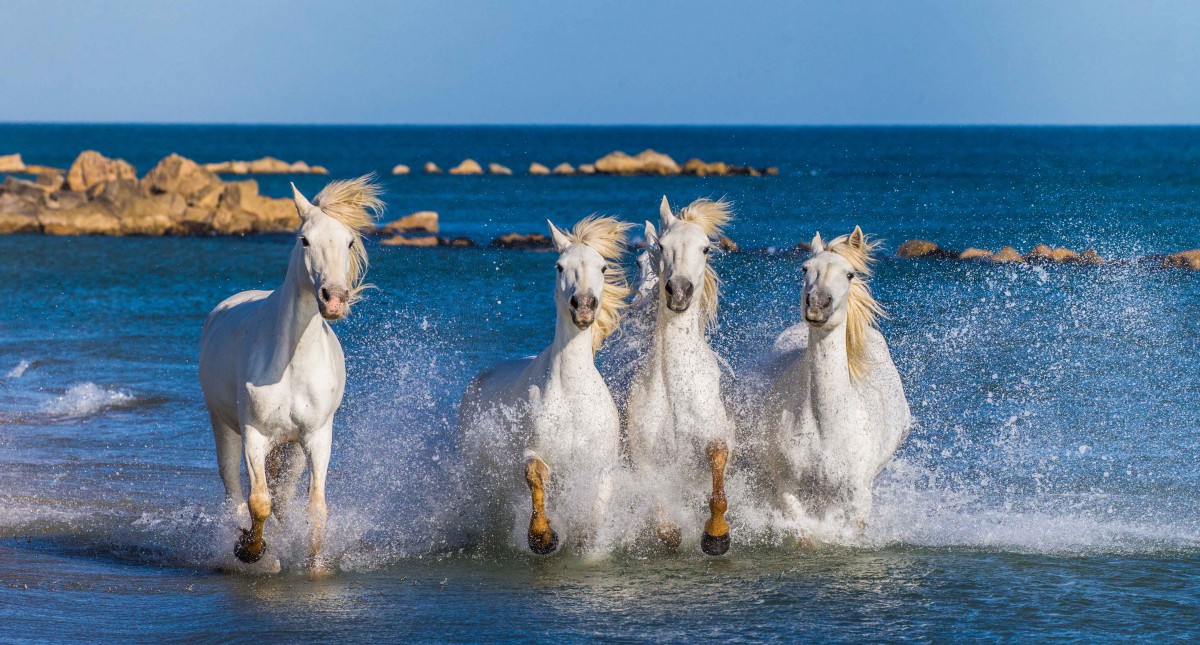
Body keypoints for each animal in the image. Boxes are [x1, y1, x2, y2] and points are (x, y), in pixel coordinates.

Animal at [199, 172, 381, 565]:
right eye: (305, 239)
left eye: (349, 241)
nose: (334, 299)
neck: (291, 365)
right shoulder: (254, 434)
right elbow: (258, 502)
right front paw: (251, 550)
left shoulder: (317, 437)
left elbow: (315, 509)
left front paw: (315, 565)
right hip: (224, 426)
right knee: (234, 493)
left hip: (293, 449)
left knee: (282, 497)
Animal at [456, 214, 633, 551]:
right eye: (559, 266)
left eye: (603, 267)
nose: (584, 305)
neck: (573, 397)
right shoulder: (534, 450)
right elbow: (535, 475)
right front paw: (542, 537)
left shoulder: (602, 463)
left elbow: (597, 507)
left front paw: (586, 539)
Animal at [624, 195, 734, 551]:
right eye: (662, 245)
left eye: (706, 249)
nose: (680, 290)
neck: (675, 390)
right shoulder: (645, 458)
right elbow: (665, 524)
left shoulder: (716, 437)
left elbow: (717, 474)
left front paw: (716, 536)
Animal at [768, 225, 907, 537]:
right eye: (805, 268)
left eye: (849, 274)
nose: (818, 305)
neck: (827, 427)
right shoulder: (788, 490)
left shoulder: (857, 498)